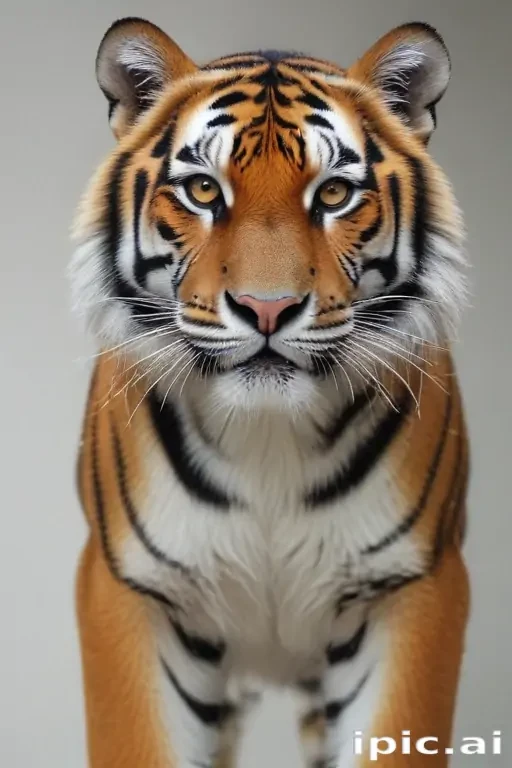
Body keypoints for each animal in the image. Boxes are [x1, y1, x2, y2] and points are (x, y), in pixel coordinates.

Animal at [71, 16, 470, 768]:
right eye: (203, 191)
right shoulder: (130, 591)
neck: (268, 439)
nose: (266, 308)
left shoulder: (412, 588)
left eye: (334, 194)